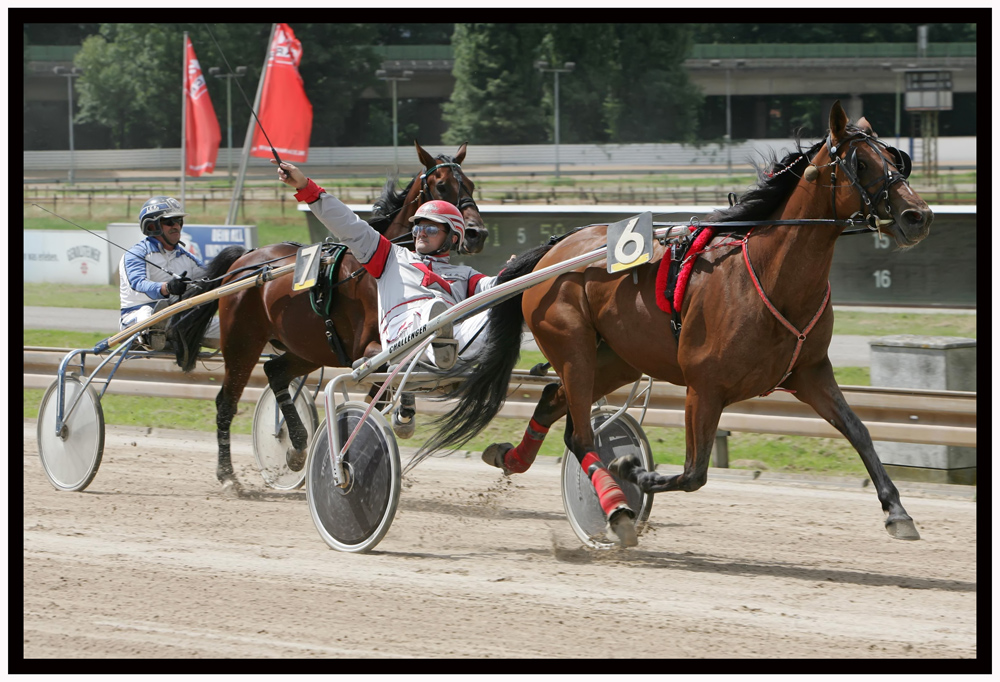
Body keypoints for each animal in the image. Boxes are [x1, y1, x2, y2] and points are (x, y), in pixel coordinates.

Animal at [168, 141, 484, 486]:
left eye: (470, 184)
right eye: (441, 185)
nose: (476, 233)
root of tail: (246, 261)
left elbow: (388, 384)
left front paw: (400, 416)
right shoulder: (366, 346)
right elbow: (389, 370)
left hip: (308, 347)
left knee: (275, 372)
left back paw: (297, 446)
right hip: (243, 343)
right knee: (226, 401)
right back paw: (227, 473)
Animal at [420, 101, 928, 544]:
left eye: (897, 159)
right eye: (861, 163)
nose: (917, 216)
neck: (769, 274)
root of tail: (552, 252)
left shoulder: (810, 372)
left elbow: (859, 431)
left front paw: (897, 511)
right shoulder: (704, 386)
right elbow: (693, 473)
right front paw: (629, 469)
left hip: (617, 358)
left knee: (552, 402)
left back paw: (510, 457)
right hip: (573, 347)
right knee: (580, 433)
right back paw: (616, 509)